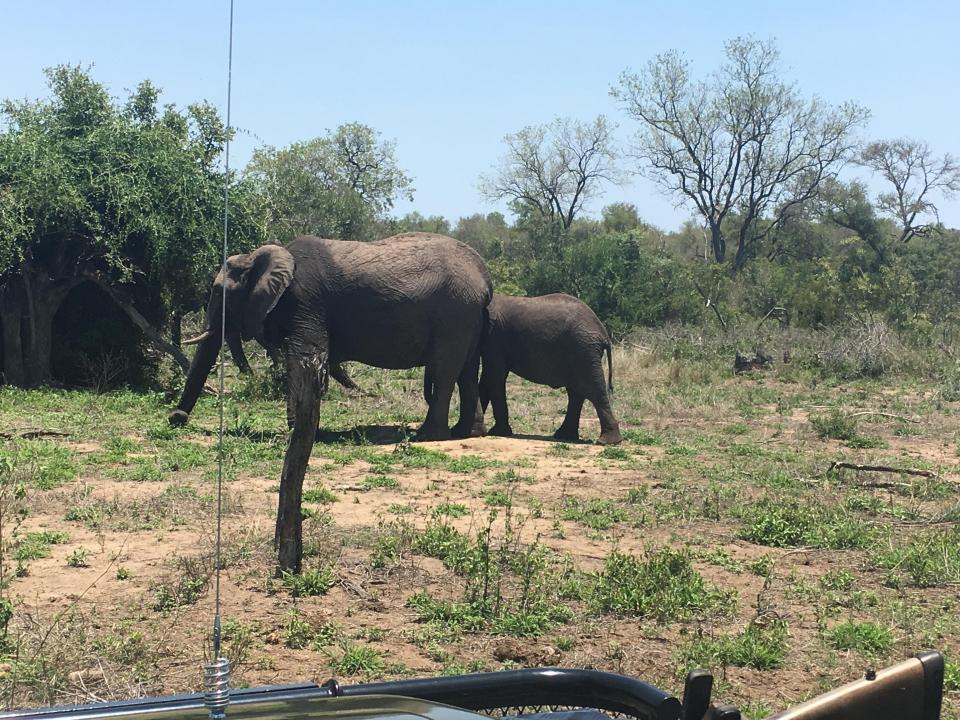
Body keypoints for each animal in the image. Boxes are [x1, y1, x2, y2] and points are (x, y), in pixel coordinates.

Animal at [168, 233, 492, 572]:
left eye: (219, 292)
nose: (176, 417)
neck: (261, 256)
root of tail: (485, 277)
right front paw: (296, 425)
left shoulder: (305, 302)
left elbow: (303, 355)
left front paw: (295, 426)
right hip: (468, 316)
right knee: (467, 370)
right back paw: (468, 433)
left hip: (455, 312)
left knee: (445, 370)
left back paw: (428, 436)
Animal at [480, 292, 624, 444]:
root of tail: (604, 334)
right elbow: (487, 377)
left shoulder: (495, 337)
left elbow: (494, 376)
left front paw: (497, 432)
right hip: (580, 352)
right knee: (576, 391)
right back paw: (565, 436)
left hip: (583, 349)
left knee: (592, 389)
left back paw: (607, 441)